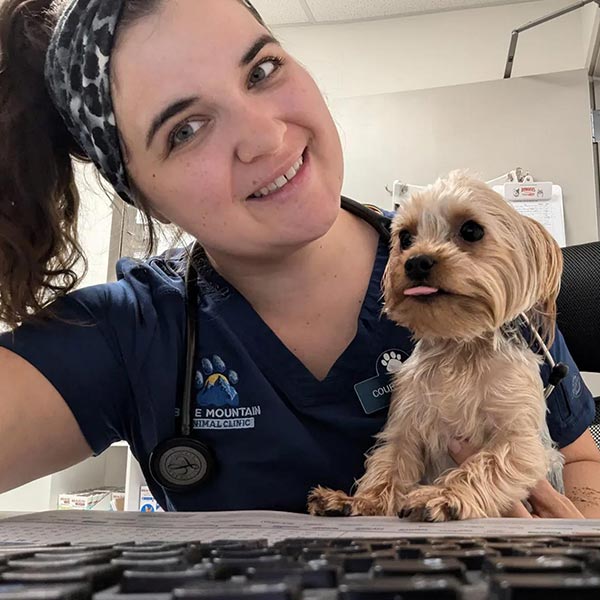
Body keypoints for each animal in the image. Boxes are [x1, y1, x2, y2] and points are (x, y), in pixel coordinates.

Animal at [308, 169, 564, 520]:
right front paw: (360, 503)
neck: (459, 346)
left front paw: (445, 495)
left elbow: (484, 462)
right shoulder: (406, 423)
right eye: (405, 238)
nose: (416, 262)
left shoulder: (520, 439)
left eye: (471, 230)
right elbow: (388, 465)